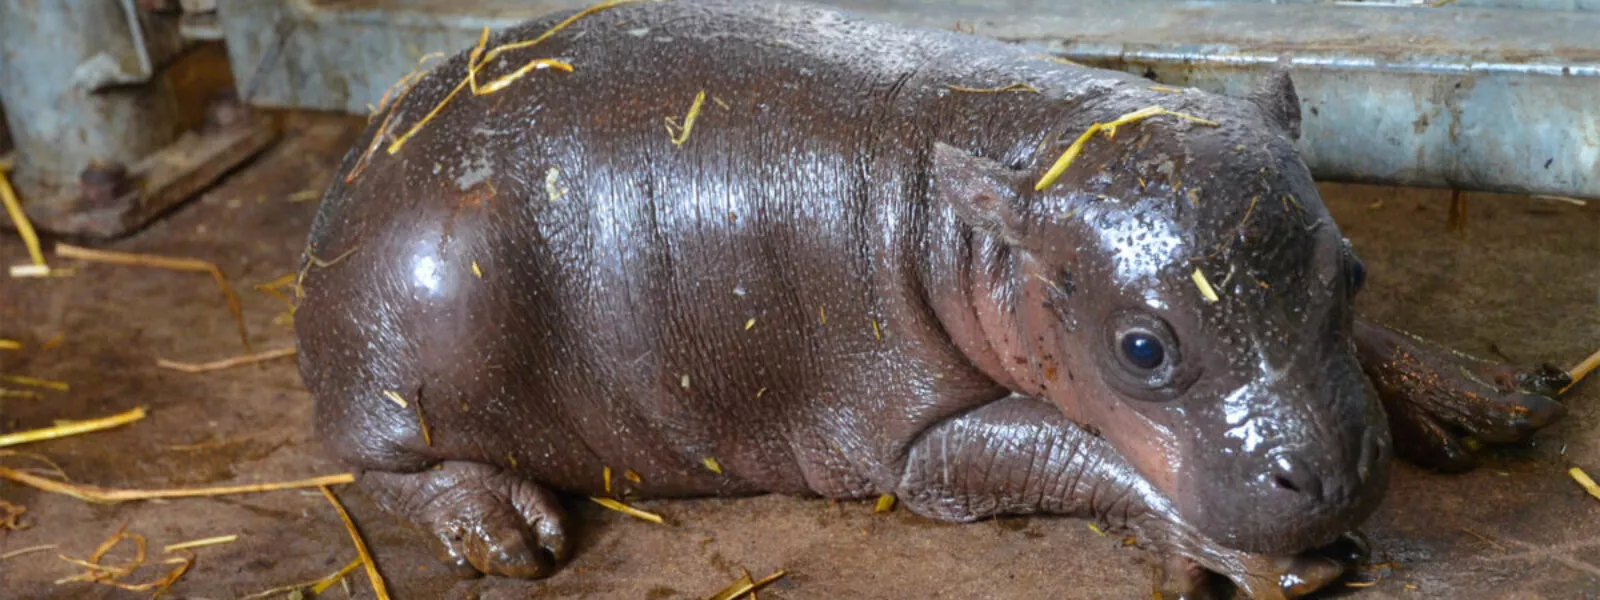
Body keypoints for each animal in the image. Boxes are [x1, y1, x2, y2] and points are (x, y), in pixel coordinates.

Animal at [292, 0, 1571, 596]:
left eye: (1349, 274)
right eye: (1142, 347)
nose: (1339, 475)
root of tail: (347, 180)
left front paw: (1494, 395)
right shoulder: (905, 440)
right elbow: (1068, 447)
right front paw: (1264, 567)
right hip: (409, 344)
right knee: (383, 464)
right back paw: (509, 532)